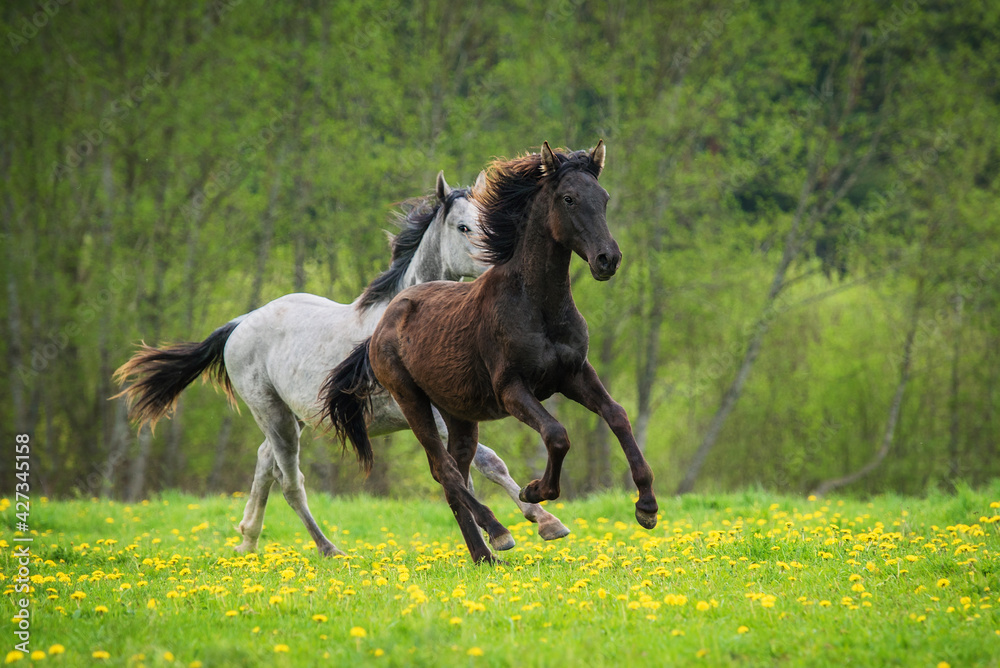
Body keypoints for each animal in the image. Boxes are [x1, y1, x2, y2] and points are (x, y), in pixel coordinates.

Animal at [320, 142, 660, 564]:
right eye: (568, 198)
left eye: (604, 198)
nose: (607, 259)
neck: (537, 306)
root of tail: (381, 325)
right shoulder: (511, 389)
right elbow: (556, 434)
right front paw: (536, 490)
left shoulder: (575, 374)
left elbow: (617, 415)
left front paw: (646, 507)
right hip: (412, 402)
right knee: (445, 470)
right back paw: (497, 531)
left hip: (459, 413)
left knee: (455, 472)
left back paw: (485, 555)